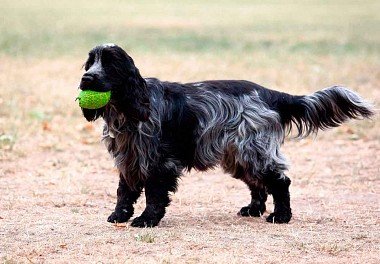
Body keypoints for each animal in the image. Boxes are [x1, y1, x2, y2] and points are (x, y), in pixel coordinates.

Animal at [78, 43, 374, 227]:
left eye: (111, 64)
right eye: (89, 63)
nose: (86, 79)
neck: (128, 109)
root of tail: (270, 94)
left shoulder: (160, 163)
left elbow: (154, 194)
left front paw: (146, 220)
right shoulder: (129, 158)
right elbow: (124, 191)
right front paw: (119, 215)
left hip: (253, 150)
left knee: (280, 182)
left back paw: (281, 216)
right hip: (239, 155)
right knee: (257, 185)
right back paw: (253, 210)